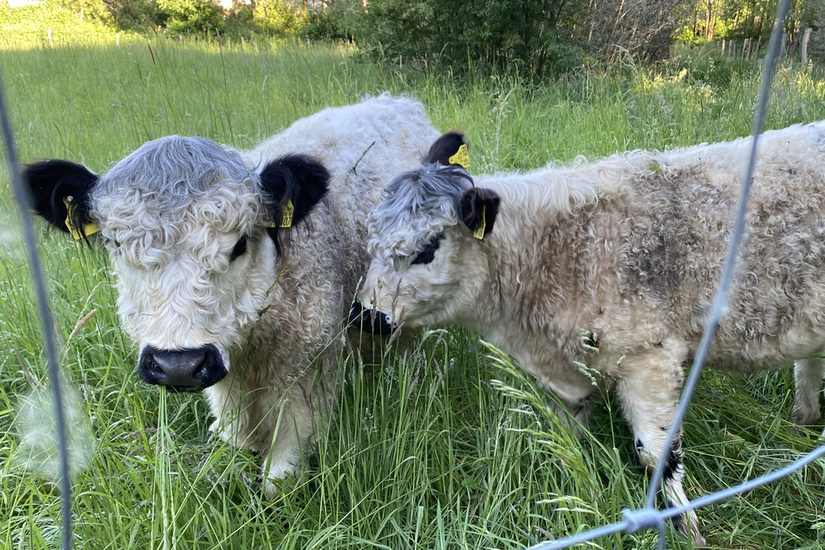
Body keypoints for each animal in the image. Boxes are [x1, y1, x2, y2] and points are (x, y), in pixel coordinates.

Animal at [358, 127, 824, 544]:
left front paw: (686, 530)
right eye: (370, 237)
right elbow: (566, 443)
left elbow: (658, 455)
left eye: (426, 250)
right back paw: (803, 418)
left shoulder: (649, 360)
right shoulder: (571, 375)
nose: (365, 314)